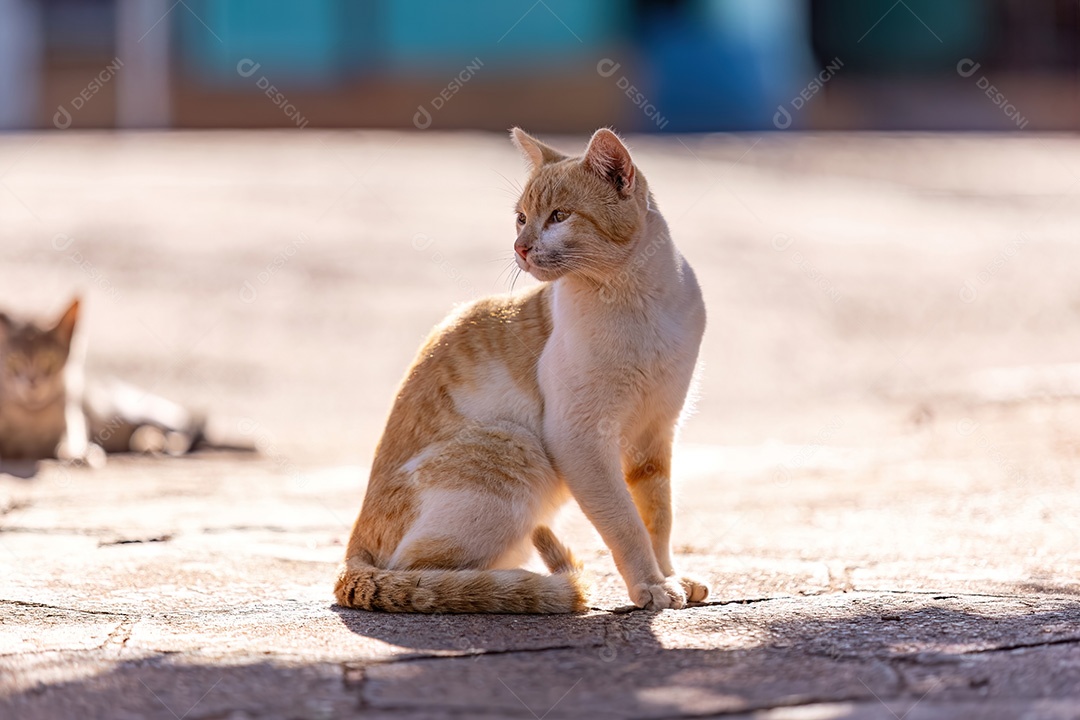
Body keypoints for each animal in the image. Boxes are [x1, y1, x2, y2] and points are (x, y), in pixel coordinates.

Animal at [336, 127, 708, 613]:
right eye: (521, 218)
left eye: (559, 216)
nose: (520, 247)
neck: (638, 301)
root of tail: (351, 552)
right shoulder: (580, 438)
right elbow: (624, 522)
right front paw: (651, 585)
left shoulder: (655, 435)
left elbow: (658, 518)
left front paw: (670, 576)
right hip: (514, 444)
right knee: (420, 575)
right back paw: (522, 584)